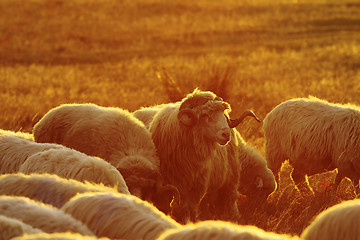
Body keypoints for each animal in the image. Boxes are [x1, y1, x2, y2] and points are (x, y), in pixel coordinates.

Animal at [148, 88, 260, 223]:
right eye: (206, 115)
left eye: (223, 114)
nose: (226, 134)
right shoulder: (167, 184)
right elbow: (164, 205)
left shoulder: (196, 187)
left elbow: (185, 209)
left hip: (230, 177)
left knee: (230, 199)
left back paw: (233, 218)